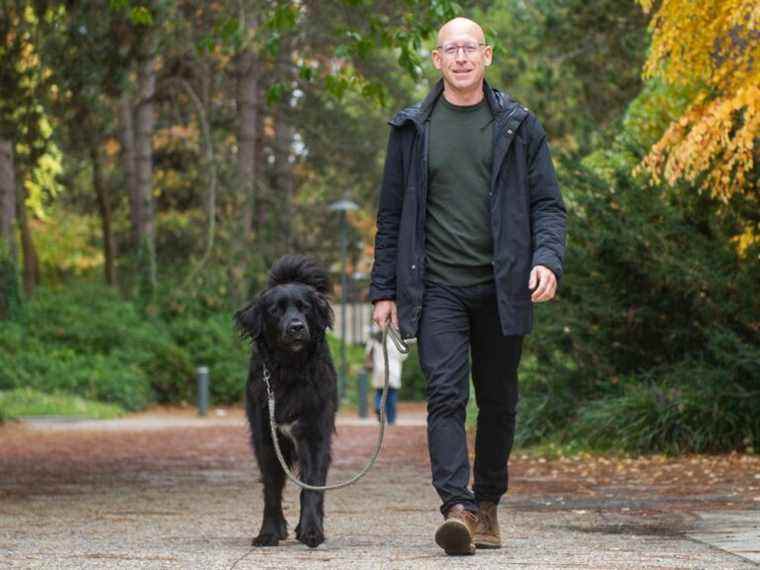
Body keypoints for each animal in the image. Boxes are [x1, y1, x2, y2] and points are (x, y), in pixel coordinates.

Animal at [233, 253, 336, 544]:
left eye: (304, 307)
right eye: (275, 310)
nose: (296, 327)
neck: (290, 369)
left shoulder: (315, 435)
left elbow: (311, 486)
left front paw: (311, 530)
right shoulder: (266, 438)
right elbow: (271, 488)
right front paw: (269, 532)